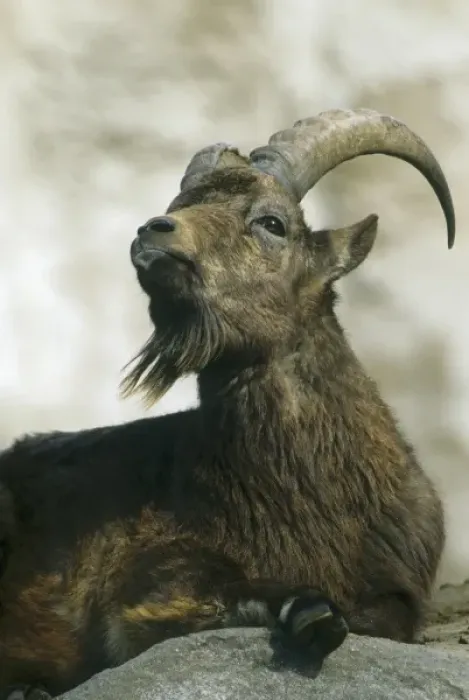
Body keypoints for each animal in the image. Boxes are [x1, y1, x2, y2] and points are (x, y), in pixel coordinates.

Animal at [0, 109, 455, 700]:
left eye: (272, 223)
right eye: (179, 205)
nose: (153, 231)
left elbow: (384, 615)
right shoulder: (154, 571)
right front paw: (305, 613)